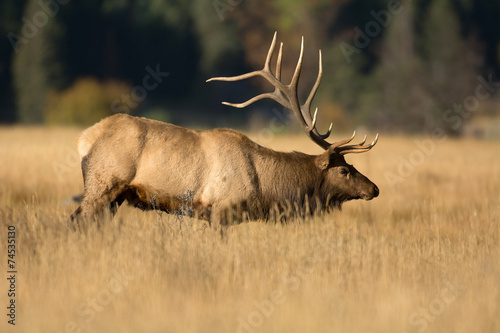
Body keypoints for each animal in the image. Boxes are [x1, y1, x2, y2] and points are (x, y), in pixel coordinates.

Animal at [70, 31, 378, 227]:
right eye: (344, 170)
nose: (374, 189)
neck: (263, 187)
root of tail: (84, 139)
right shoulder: (220, 208)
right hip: (102, 184)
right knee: (77, 220)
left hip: (115, 196)